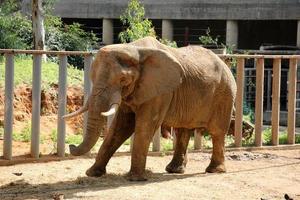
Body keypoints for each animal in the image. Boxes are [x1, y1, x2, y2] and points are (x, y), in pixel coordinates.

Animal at [63, 36, 237, 181]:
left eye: (123, 79)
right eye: (91, 76)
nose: (71, 146)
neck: (134, 49)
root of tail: (226, 64)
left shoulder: (160, 91)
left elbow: (145, 126)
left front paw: (134, 179)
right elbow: (120, 127)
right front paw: (92, 173)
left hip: (225, 94)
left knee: (217, 131)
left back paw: (214, 170)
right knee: (182, 129)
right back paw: (174, 170)